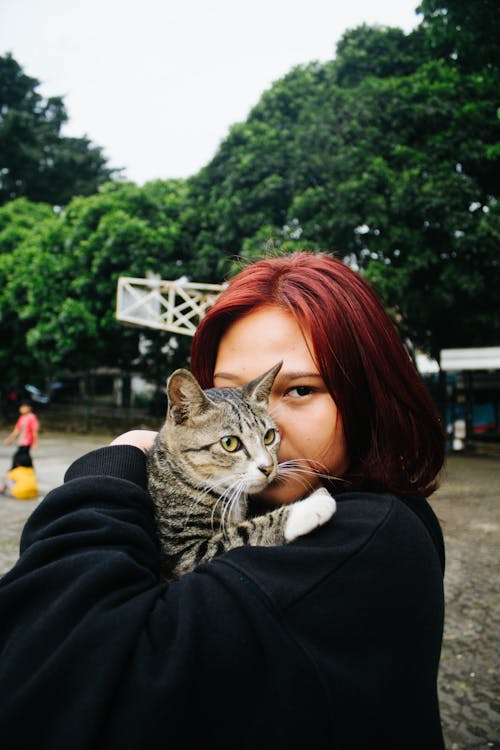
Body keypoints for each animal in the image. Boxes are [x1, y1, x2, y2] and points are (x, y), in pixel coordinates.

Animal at [147, 362, 336, 580]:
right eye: (229, 443)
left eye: (269, 436)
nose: (268, 467)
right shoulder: (182, 553)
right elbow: (242, 533)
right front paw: (310, 506)